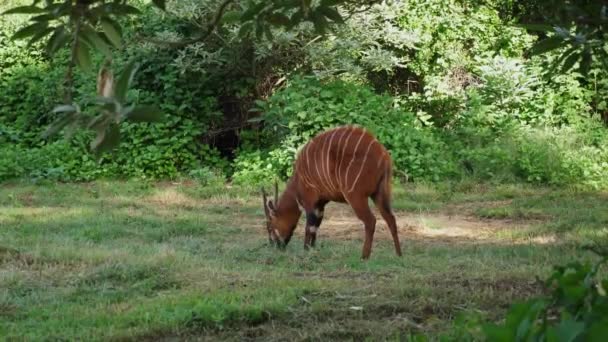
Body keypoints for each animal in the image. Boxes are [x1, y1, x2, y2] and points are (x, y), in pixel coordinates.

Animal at [262, 125, 402, 260]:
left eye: (270, 226)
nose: (274, 245)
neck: (298, 180)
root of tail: (383, 155)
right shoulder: (321, 204)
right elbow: (316, 226)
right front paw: (313, 248)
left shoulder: (310, 200)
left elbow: (310, 226)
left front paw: (306, 249)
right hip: (380, 193)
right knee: (390, 218)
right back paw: (399, 254)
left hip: (356, 196)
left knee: (371, 221)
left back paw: (364, 257)